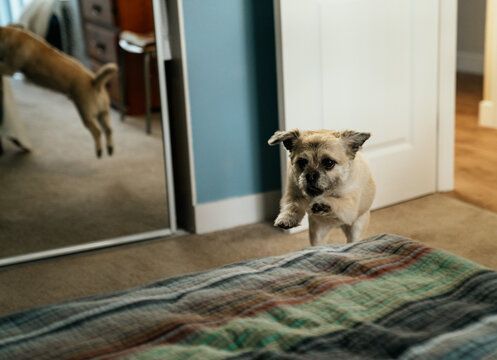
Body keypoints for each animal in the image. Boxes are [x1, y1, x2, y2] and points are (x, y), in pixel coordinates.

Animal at [0, 26, 117, 158]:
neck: (11, 35)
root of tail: (95, 81)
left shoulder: (9, 67)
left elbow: (2, 67)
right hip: (103, 114)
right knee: (108, 130)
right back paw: (110, 148)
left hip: (86, 115)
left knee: (97, 132)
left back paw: (99, 150)